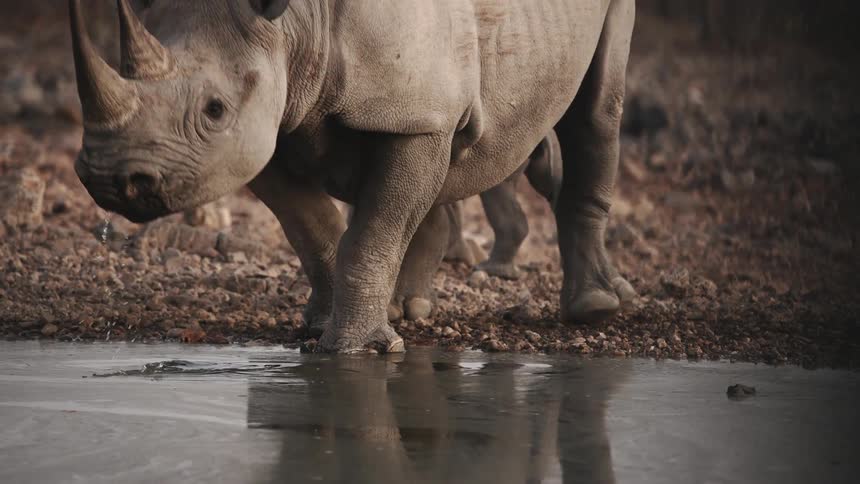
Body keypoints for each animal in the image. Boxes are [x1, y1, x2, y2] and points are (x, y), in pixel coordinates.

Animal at [69, 0, 637, 353]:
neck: (296, 24)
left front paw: (356, 348)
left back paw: (595, 307)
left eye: (214, 110)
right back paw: (409, 308)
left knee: (596, 111)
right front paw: (324, 326)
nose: (110, 181)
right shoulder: (270, 125)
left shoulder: (412, 113)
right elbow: (314, 228)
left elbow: (373, 232)